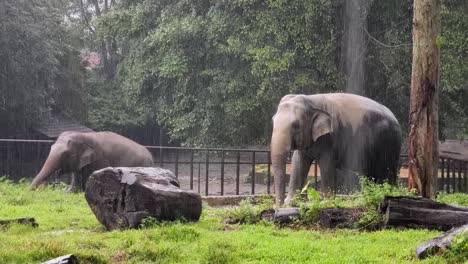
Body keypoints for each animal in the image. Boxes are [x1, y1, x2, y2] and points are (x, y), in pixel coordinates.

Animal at [270, 93, 402, 206]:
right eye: (273, 120)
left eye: (295, 125)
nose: (278, 208)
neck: (310, 99)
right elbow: (298, 162)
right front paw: (290, 204)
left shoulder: (329, 139)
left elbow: (326, 165)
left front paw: (327, 203)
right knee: (372, 175)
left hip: (388, 143)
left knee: (385, 174)